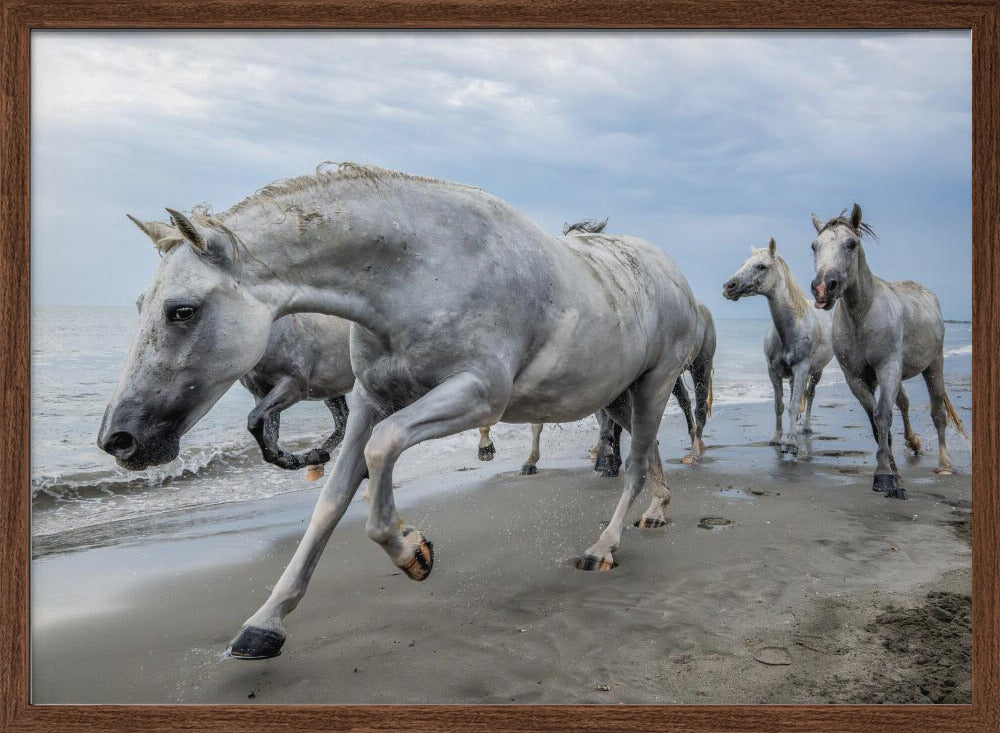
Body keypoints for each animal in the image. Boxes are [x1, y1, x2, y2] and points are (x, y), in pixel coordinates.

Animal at [98, 163, 700, 659]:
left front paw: (412, 551)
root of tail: (672, 271)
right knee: (649, 455)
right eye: (141, 306)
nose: (119, 440)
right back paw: (657, 512)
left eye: (181, 311)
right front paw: (265, 623)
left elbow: (382, 447)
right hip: (619, 395)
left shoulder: (478, 394)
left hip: (653, 385)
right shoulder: (370, 399)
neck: (423, 271)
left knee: (634, 465)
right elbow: (332, 499)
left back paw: (602, 548)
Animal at [723, 238, 833, 457]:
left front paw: (790, 443)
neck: (790, 329)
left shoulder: (802, 369)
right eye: (743, 264)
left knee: (810, 395)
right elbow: (780, 405)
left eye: (761, 266)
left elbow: (794, 405)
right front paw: (776, 438)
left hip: (816, 371)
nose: (729, 287)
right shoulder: (773, 371)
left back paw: (805, 428)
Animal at [810, 205, 967, 499]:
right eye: (814, 246)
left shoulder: (887, 369)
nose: (824, 287)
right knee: (903, 404)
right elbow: (876, 422)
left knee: (938, 413)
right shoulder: (856, 378)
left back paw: (944, 465)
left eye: (851, 243)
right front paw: (895, 476)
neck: (862, 314)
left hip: (934, 365)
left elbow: (883, 416)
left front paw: (883, 476)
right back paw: (914, 443)